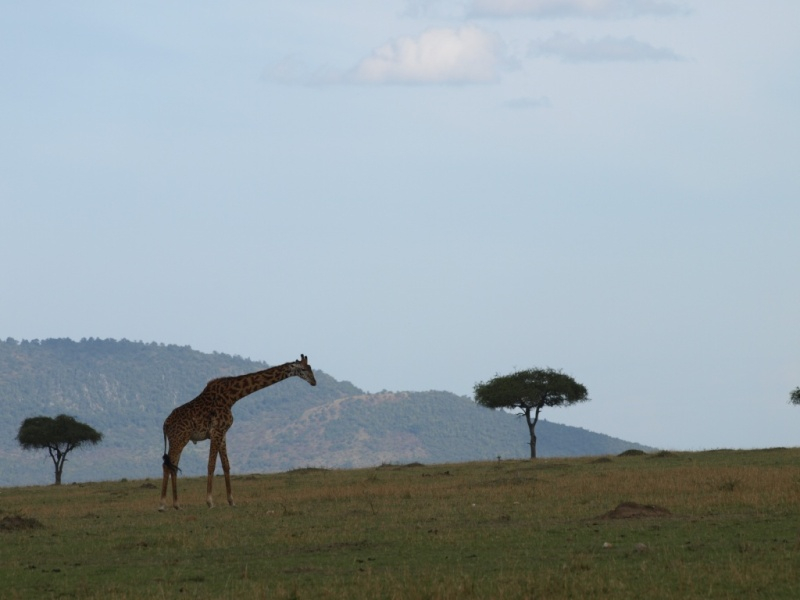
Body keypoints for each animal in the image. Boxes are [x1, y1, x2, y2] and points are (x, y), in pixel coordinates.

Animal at [159, 354, 316, 508]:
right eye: (303, 369)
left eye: (310, 367)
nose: (314, 382)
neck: (231, 397)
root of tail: (165, 424)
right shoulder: (216, 431)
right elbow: (211, 464)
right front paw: (210, 501)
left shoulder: (222, 434)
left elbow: (226, 465)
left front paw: (231, 501)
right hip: (179, 439)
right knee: (168, 465)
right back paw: (163, 504)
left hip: (178, 439)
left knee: (173, 465)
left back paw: (176, 504)